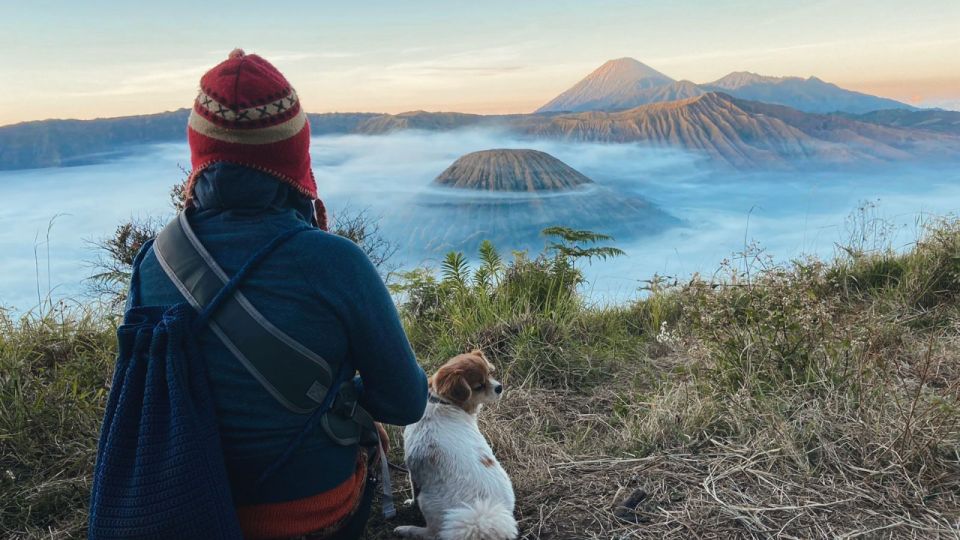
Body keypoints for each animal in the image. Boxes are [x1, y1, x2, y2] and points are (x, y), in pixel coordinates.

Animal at [394, 350, 516, 540]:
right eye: (479, 386)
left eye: (490, 373)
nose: (499, 387)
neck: (440, 401)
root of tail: (482, 520)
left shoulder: (413, 470)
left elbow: (414, 491)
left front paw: (410, 503)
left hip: (427, 501)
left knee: (432, 533)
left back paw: (408, 530)